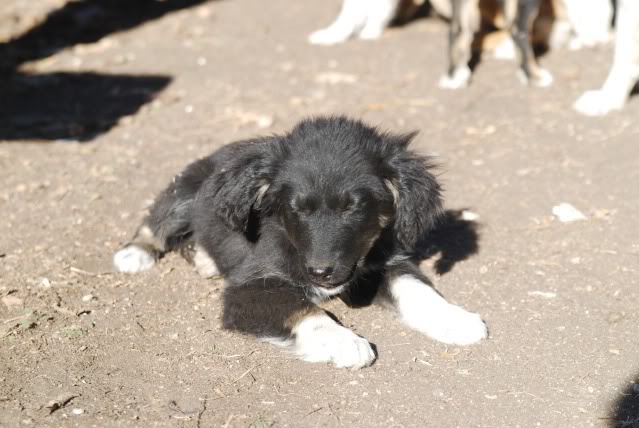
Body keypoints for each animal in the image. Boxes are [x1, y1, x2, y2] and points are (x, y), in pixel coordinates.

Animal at [114, 117, 484, 368]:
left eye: (353, 208)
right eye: (296, 209)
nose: (320, 272)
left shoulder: (379, 263)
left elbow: (417, 289)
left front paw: (455, 319)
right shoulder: (248, 288)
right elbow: (305, 309)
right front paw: (344, 341)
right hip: (185, 189)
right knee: (156, 220)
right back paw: (134, 253)